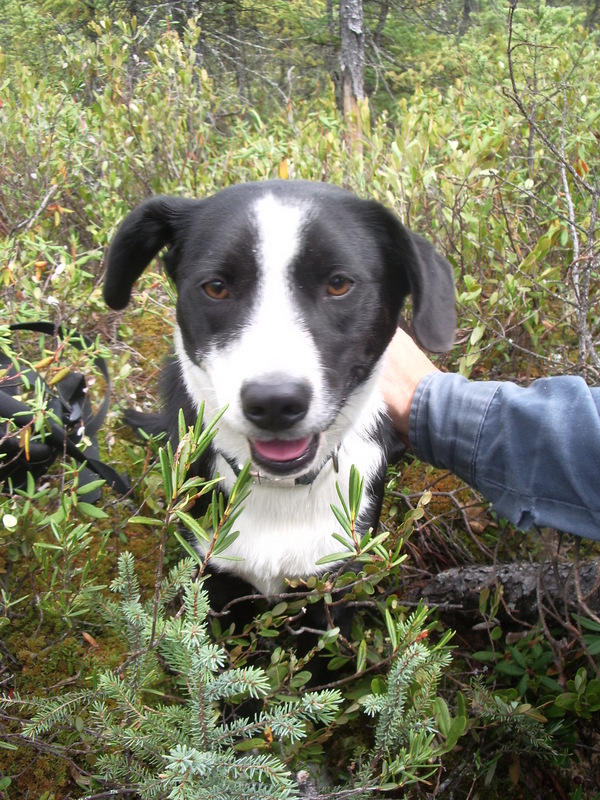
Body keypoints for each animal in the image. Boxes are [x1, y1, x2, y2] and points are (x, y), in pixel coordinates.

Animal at [104, 180, 454, 668]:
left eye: (339, 284)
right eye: (216, 287)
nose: (274, 402)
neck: (280, 492)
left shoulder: (330, 593)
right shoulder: (217, 585)